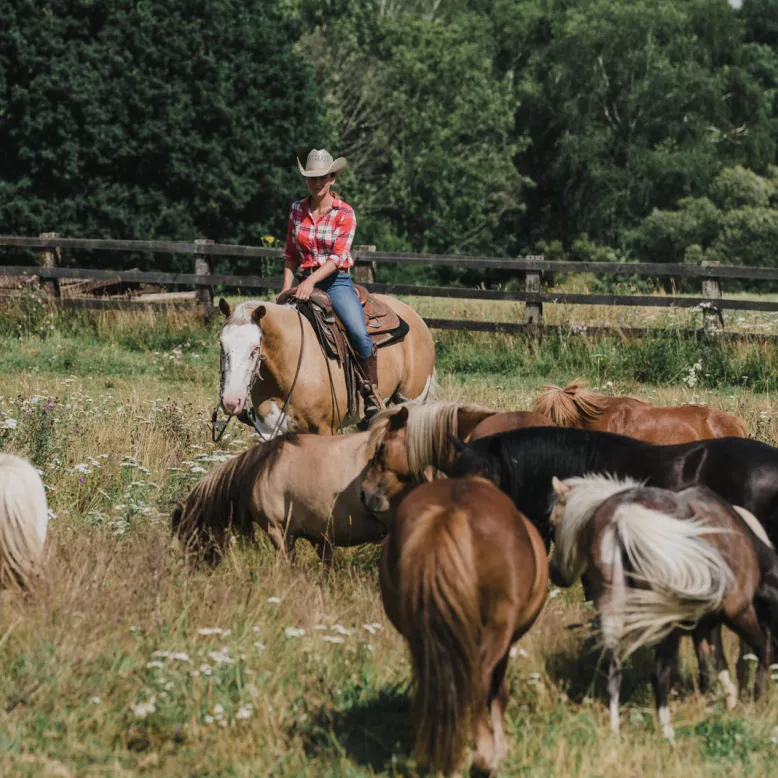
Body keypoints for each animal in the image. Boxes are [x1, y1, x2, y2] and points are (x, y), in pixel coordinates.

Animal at [216, 298, 435, 438]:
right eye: (221, 345)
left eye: (255, 348)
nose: (230, 402)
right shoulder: (268, 431)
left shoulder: (325, 428)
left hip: (411, 399)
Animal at [380, 477, 548, 776]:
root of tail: (450, 509)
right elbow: (498, 692)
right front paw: (499, 751)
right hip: (497, 627)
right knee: (476, 680)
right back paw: (483, 756)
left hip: (422, 640)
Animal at [549, 475, 778, 740]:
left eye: (554, 521)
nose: (554, 572)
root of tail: (624, 515)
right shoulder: (737, 612)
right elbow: (760, 651)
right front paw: (754, 701)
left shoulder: (704, 624)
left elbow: (713, 666)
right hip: (667, 622)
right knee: (659, 673)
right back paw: (668, 733)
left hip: (616, 612)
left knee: (614, 669)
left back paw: (616, 732)